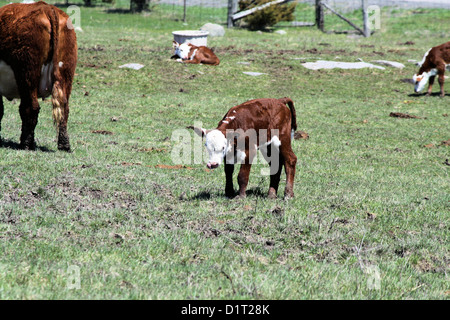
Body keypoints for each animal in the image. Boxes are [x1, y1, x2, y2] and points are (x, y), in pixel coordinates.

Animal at [0, 1, 77, 151]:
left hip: (27, 72)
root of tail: (47, 8)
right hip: (66, 72)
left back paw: (26, 144)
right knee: (64, 108)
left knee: (30, 107)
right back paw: (64, 144)